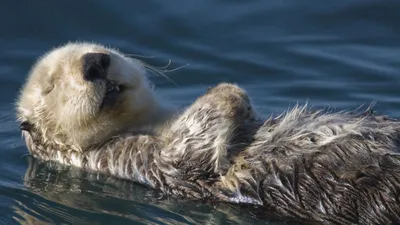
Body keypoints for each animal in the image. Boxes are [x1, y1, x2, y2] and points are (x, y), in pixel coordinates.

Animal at [17, 42, 400, 225]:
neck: (151, 121)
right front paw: (227, 91)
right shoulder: (129, 159)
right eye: (51, 86)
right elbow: (186, 154)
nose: (94, 62)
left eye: (102, 51)